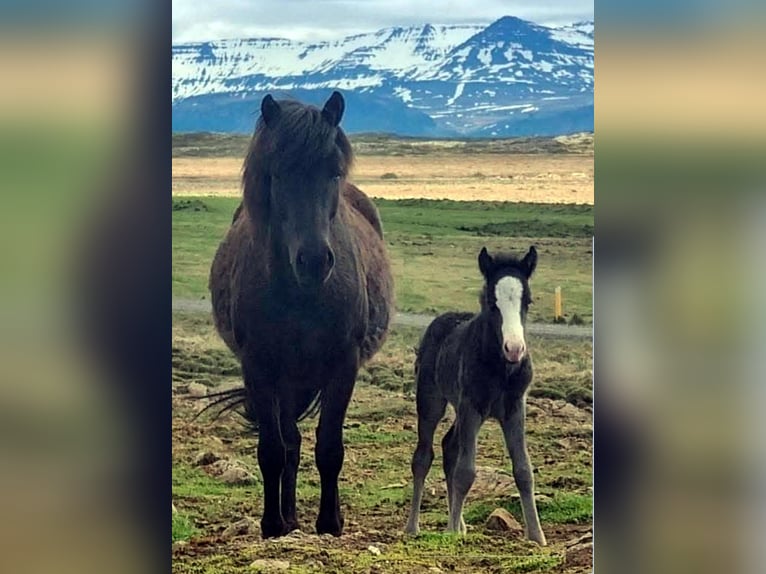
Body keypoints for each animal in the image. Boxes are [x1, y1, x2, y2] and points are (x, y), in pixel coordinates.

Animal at [207, 91, 395, 538]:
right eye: (277, 174)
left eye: (334, 172)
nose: (313, 261)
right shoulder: (259, 366)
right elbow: (273, 449)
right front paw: (273, 523)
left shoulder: (343, 363)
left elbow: (330, 446)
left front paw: (330, 522)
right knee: (289, 442)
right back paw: (289, 515)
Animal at [404, 246, 546, 545]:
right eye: (492, 302)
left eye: (527, 301)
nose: (515, 349)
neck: (501, 369)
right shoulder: (471, 406)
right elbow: (466, 471)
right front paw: (449, 532)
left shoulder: (514, 408)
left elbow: (523, 470)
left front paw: (537, 536)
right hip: (432, 401)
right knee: (423, 456)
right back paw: (413, 526)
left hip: (460, 410)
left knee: (449, 447)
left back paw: (460, 524)